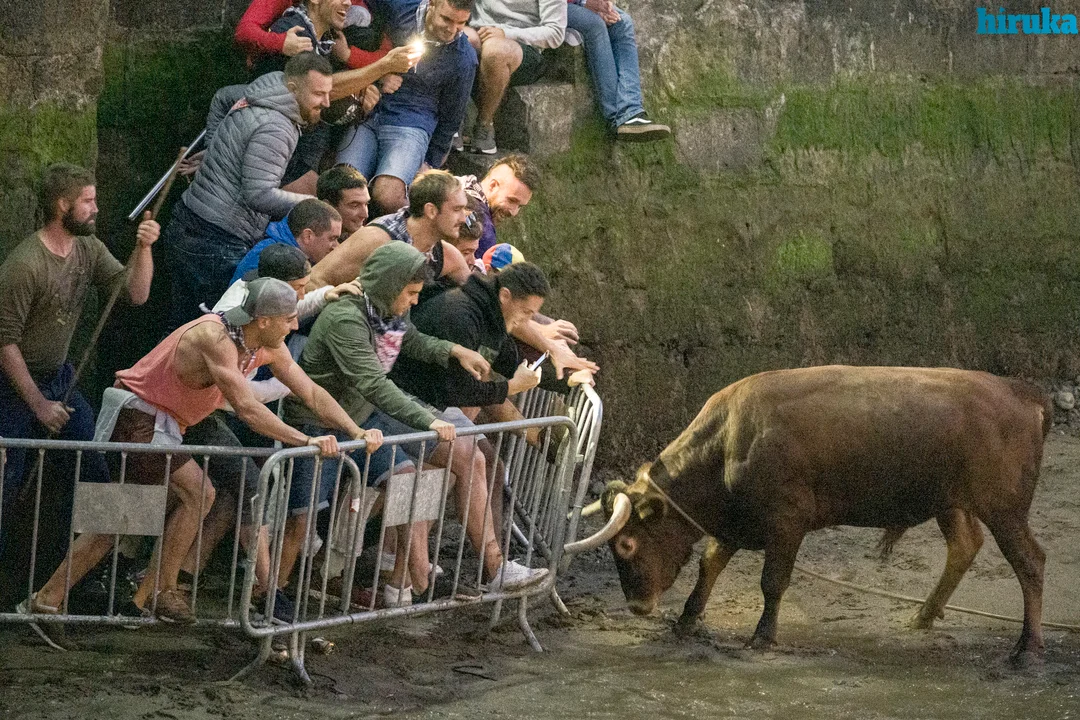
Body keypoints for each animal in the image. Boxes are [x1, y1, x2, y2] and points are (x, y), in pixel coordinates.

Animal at [567, 366, 1051, 664]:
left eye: (627, 543)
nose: (637, 605)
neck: (729, 442)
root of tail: (1020, 391)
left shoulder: (786, 523)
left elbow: (772, 581)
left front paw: (762, 635)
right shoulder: (736, 522)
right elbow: (710, 564)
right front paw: (687, 618)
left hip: (1004, 510)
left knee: (1030, 562)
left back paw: (1027, 647)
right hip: (950, 502)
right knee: (964, 546)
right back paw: (923, 616)